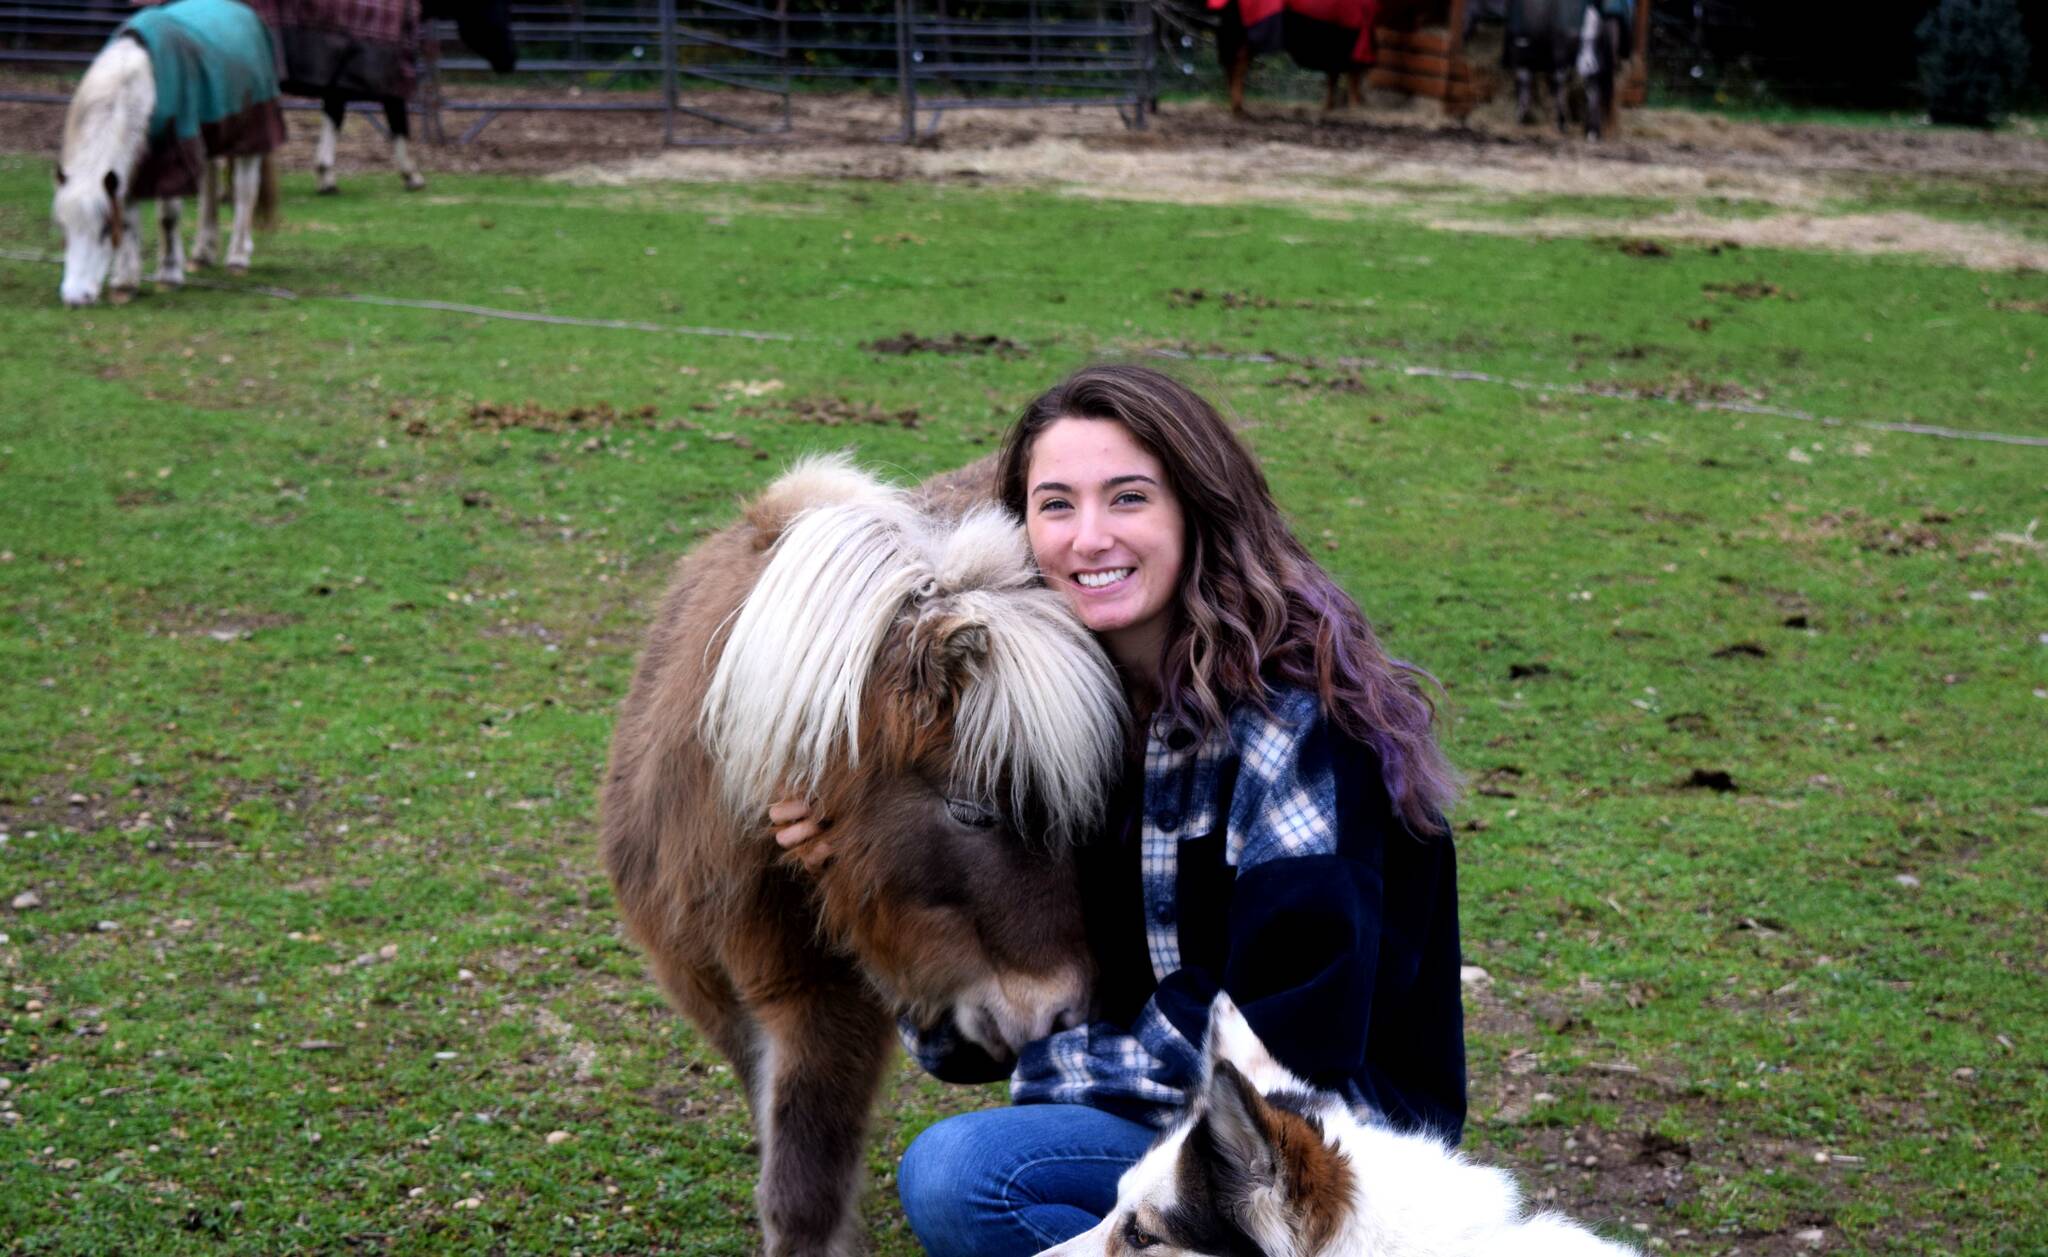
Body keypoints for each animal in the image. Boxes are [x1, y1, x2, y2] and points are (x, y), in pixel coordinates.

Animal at [54, 0, 284, 307]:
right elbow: (129, 218)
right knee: (209, 186)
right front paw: (125, 283)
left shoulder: (174, 156)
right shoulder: (131, 170)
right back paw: (202, 253)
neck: (136, 81)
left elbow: (167, 217)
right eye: (65, 228)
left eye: (104, 229)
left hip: (250, 136)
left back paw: (237, 257)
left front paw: (169, 275)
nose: (75, 297)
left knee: (245, 190)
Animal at [247, 0, 515, 193]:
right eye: (498, 6)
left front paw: (325, 177)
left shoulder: (337, 82)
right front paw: (413, 176)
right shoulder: (386, 76)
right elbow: (398, 122)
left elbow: (333, 119)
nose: (510, 61)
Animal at [1212, 0, 1382, 115]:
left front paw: (1330, 106)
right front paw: (1354, 106)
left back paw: (1235, 104)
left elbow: (1335, 76)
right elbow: (1350, 74)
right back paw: (1238, 107)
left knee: (1231, 65)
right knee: (1237, 65)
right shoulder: (1353, 40)